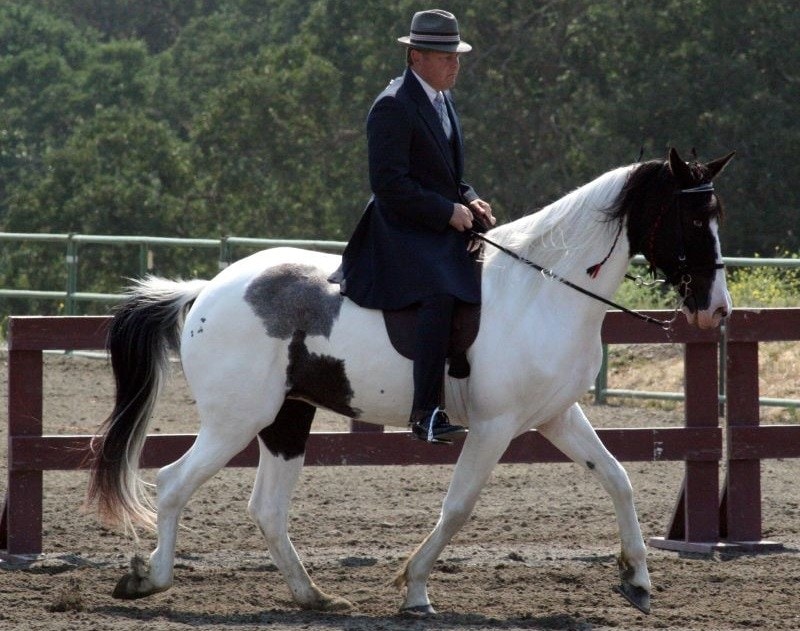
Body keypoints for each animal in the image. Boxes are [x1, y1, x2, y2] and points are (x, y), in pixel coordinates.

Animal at [86, 147, 734, 616]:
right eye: (691, 218)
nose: (717, 311)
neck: (542, 290)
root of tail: (204, 290)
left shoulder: (555, 415)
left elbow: (619, 479)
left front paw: (638, 581)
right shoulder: (495, 427)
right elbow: (458, 506)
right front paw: (416, 588)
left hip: (287, 418)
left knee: (267, 508)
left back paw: (314, 597)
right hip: (235, 421)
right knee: (173, 483)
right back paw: (148, 580)